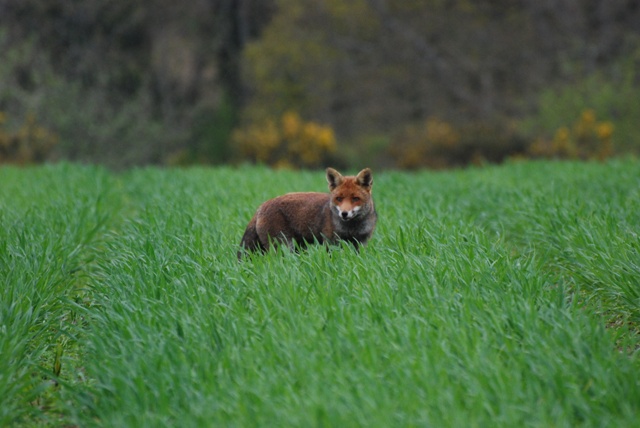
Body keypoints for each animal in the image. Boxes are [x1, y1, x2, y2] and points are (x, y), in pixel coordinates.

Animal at [240, 167, 380, 258]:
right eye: (339, 199)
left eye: (355, 199)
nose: (344, 213)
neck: (351, 228)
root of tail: (261, 206)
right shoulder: (331, 243)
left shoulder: (361, 243)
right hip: (283, 247)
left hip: (298, 247)